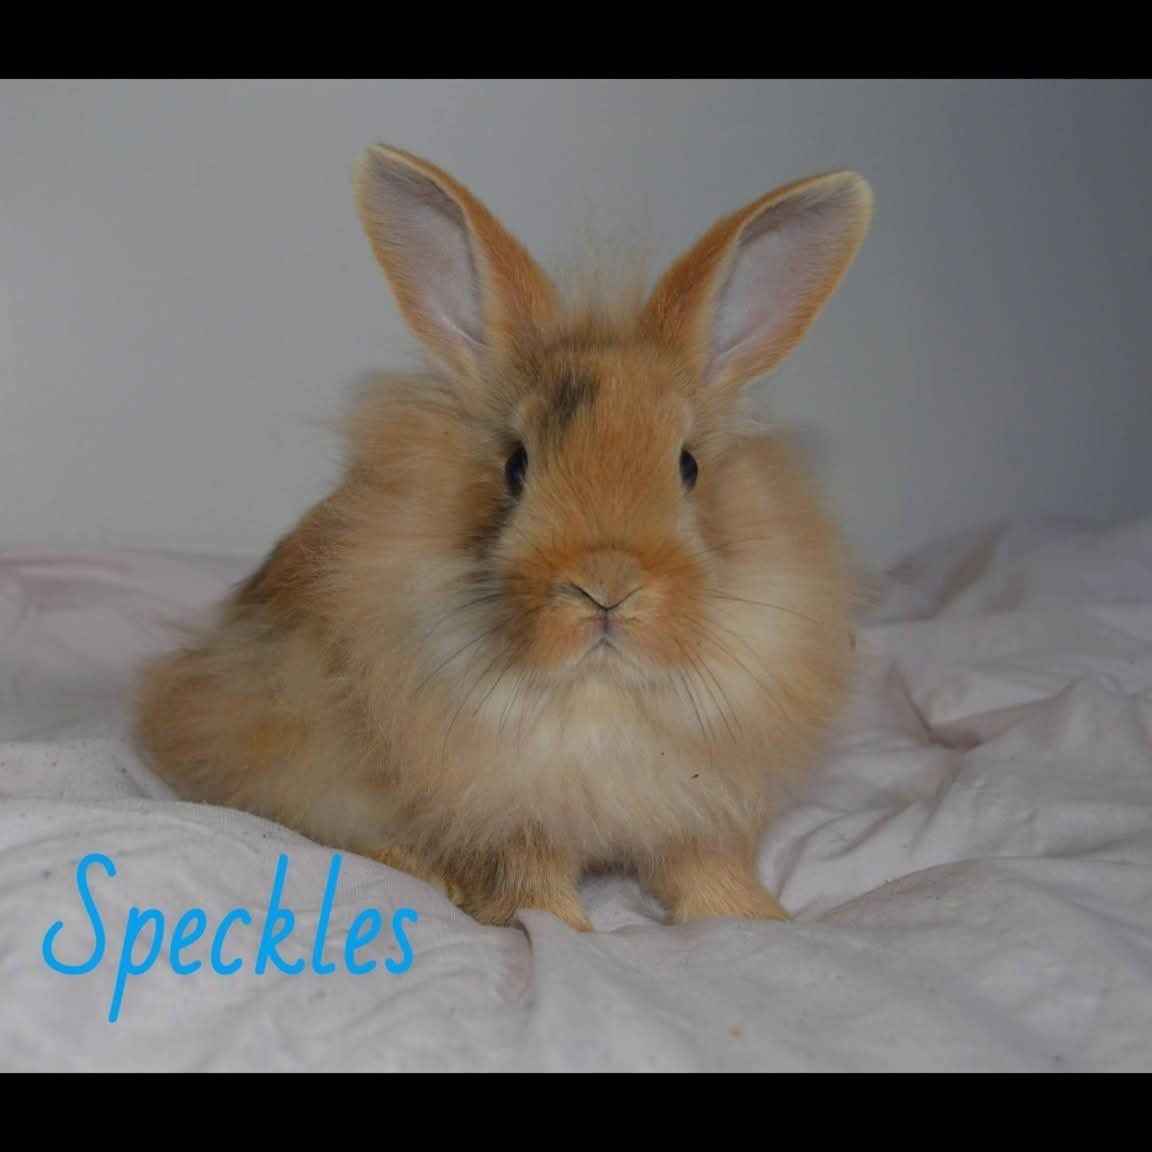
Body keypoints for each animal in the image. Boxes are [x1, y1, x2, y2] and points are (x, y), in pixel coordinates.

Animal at [136, 145, 872, 931]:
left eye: (688, 466)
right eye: (517, 464)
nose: (605, 585)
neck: (599, 691)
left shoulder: (697, 808)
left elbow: (704, 866)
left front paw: (755, 920)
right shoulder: (508, 815)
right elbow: (531, 880)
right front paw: (566, 929)